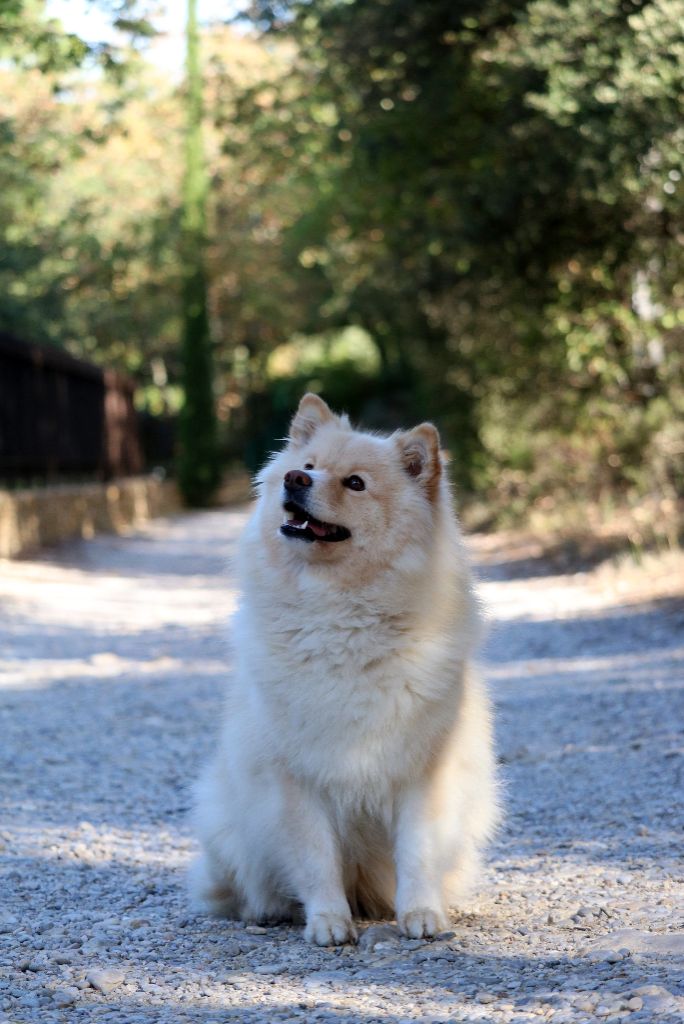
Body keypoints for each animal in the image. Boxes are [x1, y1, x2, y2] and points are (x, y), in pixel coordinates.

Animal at [189, 391, 499, 942]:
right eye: (309, 467)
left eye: (355, 483)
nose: (295, 480)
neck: (340, 616)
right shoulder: (296, 779)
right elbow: (316, 859)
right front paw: (329, 922)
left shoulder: (421, 773)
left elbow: (416, 853)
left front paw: (421, 915)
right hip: (225, 816)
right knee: (241, 884)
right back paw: (266, 910)